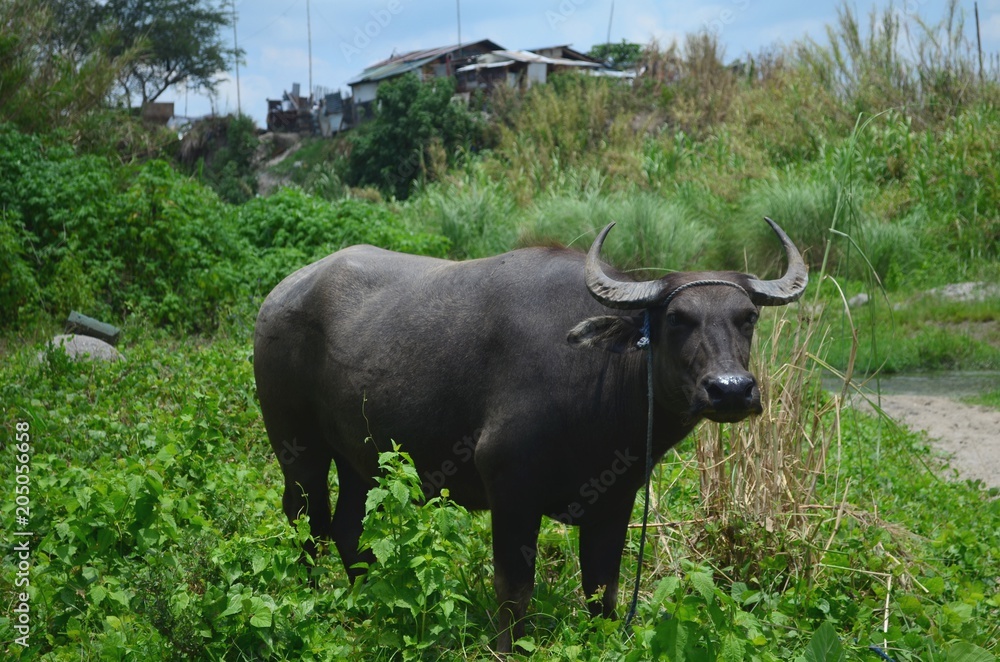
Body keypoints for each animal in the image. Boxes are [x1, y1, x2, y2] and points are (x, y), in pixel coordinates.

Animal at [254, 219, 808, 652]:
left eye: (747, 317)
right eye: (677, 318)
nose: (731, 389)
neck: (597, 377)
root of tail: (279, 295)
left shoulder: (616, 498)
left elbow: (602, 590)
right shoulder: (511, 488)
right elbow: (514, 587)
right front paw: (509, 647)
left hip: (360, 461)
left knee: (349, 530)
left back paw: (366, 603)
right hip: (297, 451)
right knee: (306, 523)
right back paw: (311, 600)